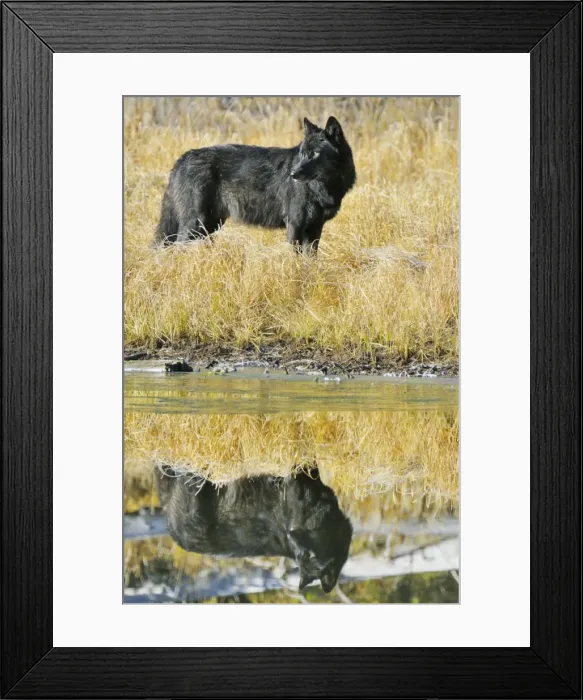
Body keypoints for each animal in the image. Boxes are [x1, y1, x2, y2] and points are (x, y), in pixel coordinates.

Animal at [154, 116, 356, 253]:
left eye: (314, 153)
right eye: (302, 153)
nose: (292, 174)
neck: (323, 187)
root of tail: (182, 158)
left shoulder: (315, 229)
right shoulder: (295, 224)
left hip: (209, 226)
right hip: (195, 224)